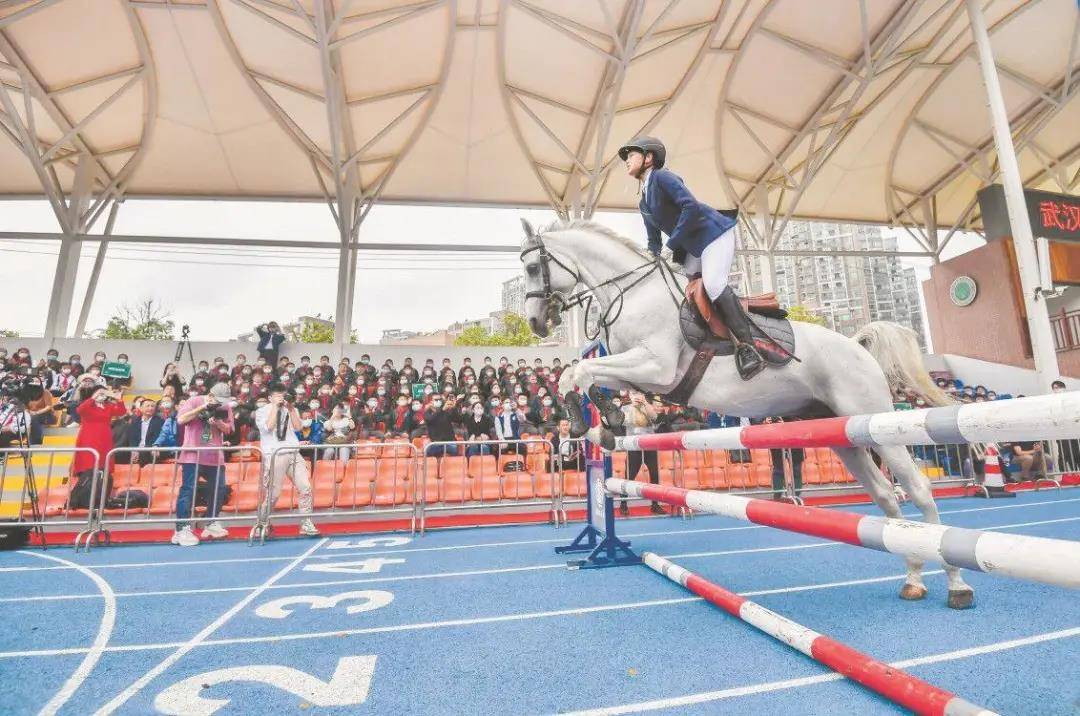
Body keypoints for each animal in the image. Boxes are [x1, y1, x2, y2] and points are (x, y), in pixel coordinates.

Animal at [522, 218, 980, 609]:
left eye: (530, 267)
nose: (536, 324)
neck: (632, 292)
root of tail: (857, 345)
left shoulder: (656, 366)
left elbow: (581, 371)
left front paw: (592, 423)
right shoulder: (639, 372)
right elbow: (579, 374)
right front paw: (605, 424)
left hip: (875, 424)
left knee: (918, 489)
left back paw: (956, 584)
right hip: (844, 436)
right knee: (886, 497)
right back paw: (913, 578)